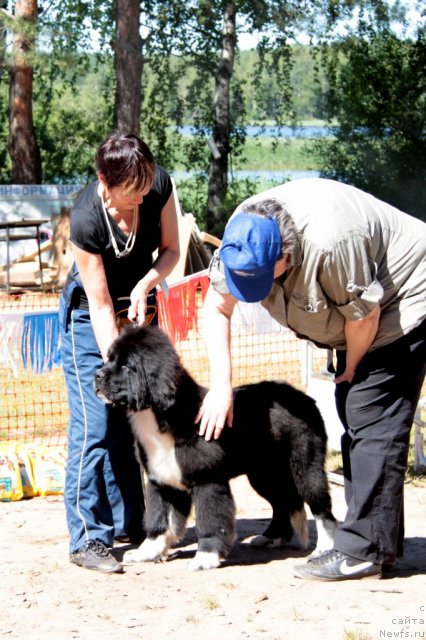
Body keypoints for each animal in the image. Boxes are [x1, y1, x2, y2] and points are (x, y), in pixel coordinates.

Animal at [95, 324, 338, 568]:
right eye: (110, 358)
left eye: (126, 365)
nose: (97, 375)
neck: (163, 415)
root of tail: (302, 396)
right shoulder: (162, 480)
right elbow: (159, 520)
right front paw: (146, 552)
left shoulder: (207, 479)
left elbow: (210, 520)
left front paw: (206, 557)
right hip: (264, 473)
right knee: (282, 501)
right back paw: (272, 537)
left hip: (305, 465)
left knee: (319, 503)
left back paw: (324, 547)